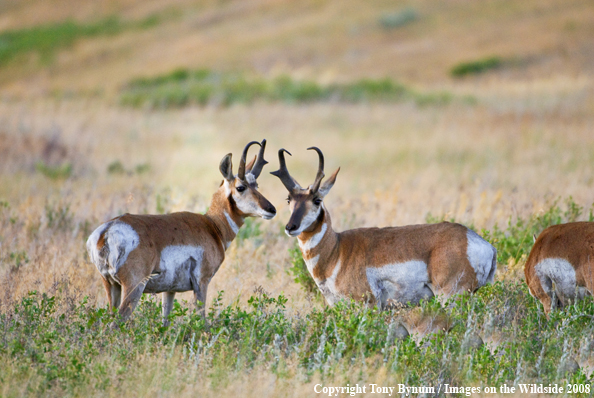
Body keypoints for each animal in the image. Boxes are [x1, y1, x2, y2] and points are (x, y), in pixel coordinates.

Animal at [86, 141, 276, 324]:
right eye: (241, 187)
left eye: (256, 185)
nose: (271, 209)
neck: (212, 226)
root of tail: (106, 231)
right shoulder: (202, 283)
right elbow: (202, 321)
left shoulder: (169, 291)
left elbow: (165, 322)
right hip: (134, 288)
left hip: (111, 286)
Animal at [270, 146, 498, 308]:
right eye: (289, 199)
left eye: (317, 200)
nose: (291, 227)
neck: (337, 250)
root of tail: (479, 242)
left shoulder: (367, 305)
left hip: (450, 297)